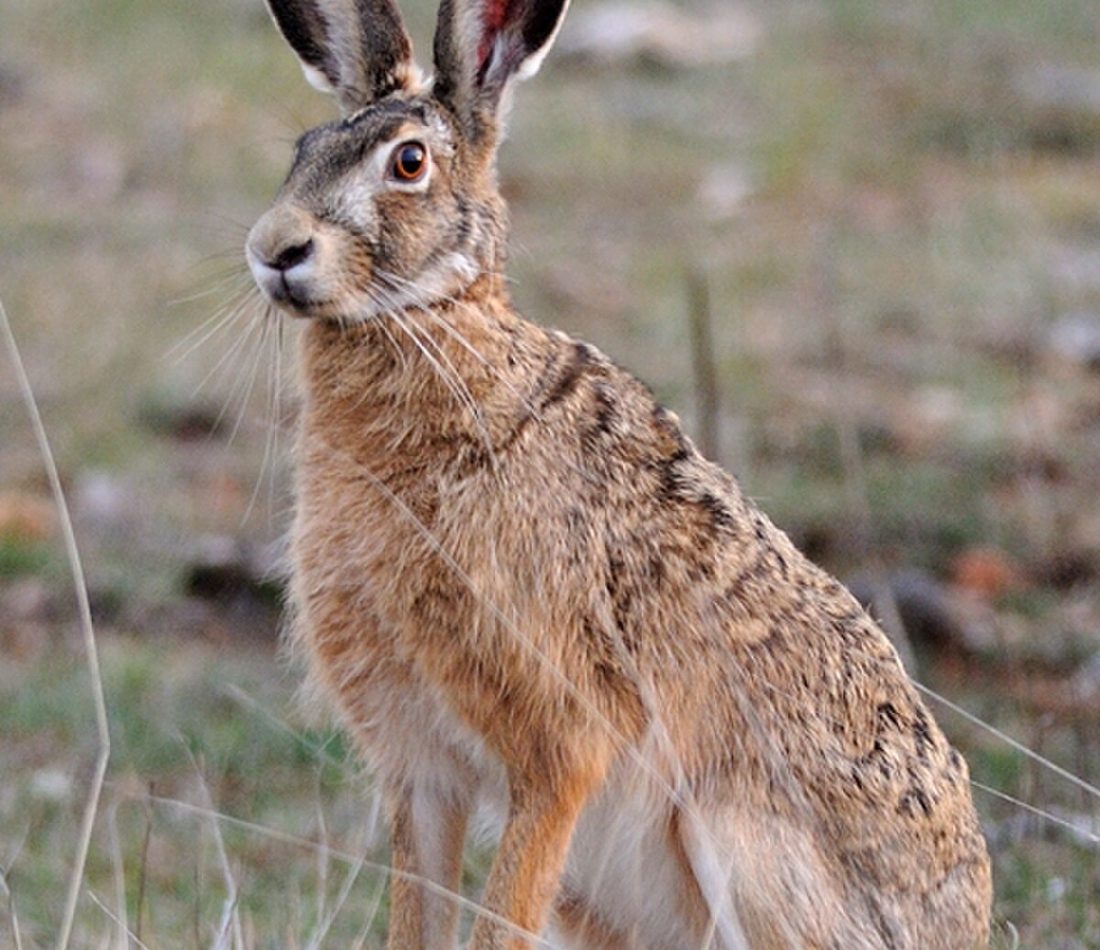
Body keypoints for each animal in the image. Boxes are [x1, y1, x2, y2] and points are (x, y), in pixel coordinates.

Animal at [243, 0, 993, 946]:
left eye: (408, 162)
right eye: (303, 149)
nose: (274, 250)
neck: (440, 330)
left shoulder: (559, 744)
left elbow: (503, 914)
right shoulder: (420, 771)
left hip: (738, 842)